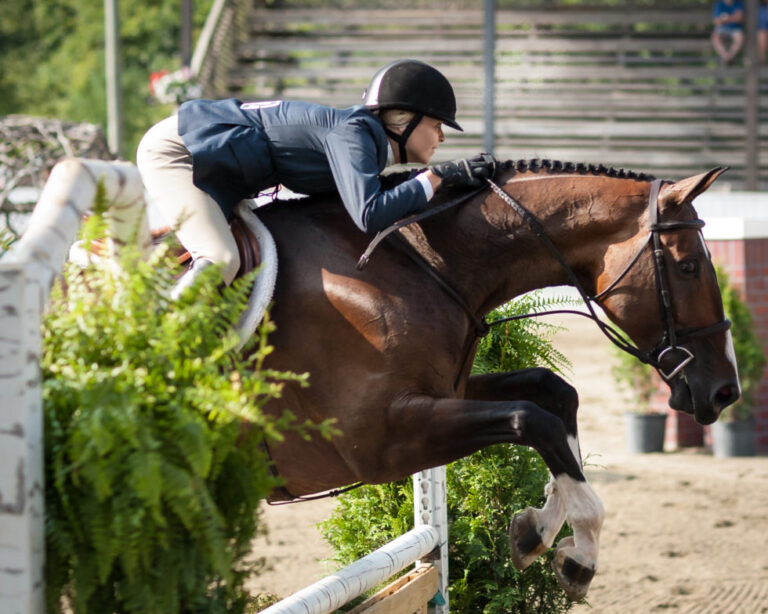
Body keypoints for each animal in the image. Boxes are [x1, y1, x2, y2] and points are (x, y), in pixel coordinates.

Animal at [251, 159, 740, 600]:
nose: (726, 391)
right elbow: (533, 420)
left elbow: (555, 394)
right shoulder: (380, 441)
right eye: (689, 266)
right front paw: (581, 552)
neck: (413, 263)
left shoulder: (449, 393)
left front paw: (537, 528)